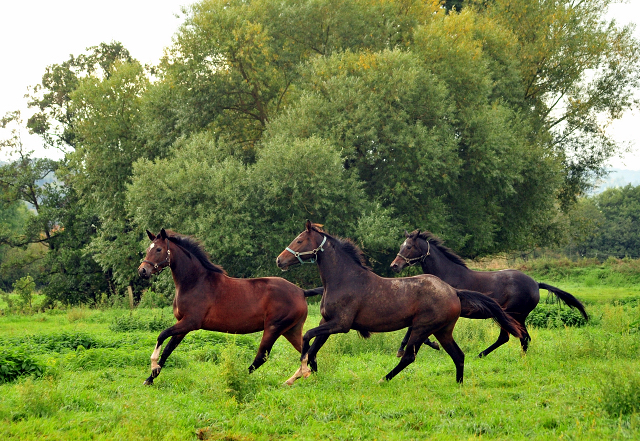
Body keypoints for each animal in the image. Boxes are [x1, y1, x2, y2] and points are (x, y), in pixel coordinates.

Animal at [138, 229, 318, 384]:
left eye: (159, 249)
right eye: (148, 249)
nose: (142, 271)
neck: (195, 282)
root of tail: (301, 292)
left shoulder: (190, 322)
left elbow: (161, 335)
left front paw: (153, 367)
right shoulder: (183, 325)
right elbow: (168, 349)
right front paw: (150, 378)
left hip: (274, 328)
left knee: (262, 357)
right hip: (291, 330)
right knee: (309, 354)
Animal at [272, 222, 524, 384]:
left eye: (300, 240)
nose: (279, 260)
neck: (344, 279)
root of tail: (453, 291)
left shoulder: (340, 325)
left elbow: (306, 339)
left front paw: (302, 372)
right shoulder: (327, 321)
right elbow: (314, 346)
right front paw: (306, 373)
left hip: (422, 328)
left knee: (410, 356)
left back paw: (384, 379)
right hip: (442, 330)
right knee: (458, 355)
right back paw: (458, 384)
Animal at [388, 230, 588, 358]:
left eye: (409, 247)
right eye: (402, 245)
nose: (394, 265)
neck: (447, 275)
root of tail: (536, 284)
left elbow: (412, 329)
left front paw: (406, 349)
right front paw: (431, 344)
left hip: (512, 314)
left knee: (511, 337)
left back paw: (483, 355)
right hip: (516, 316)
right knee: (521, 337)